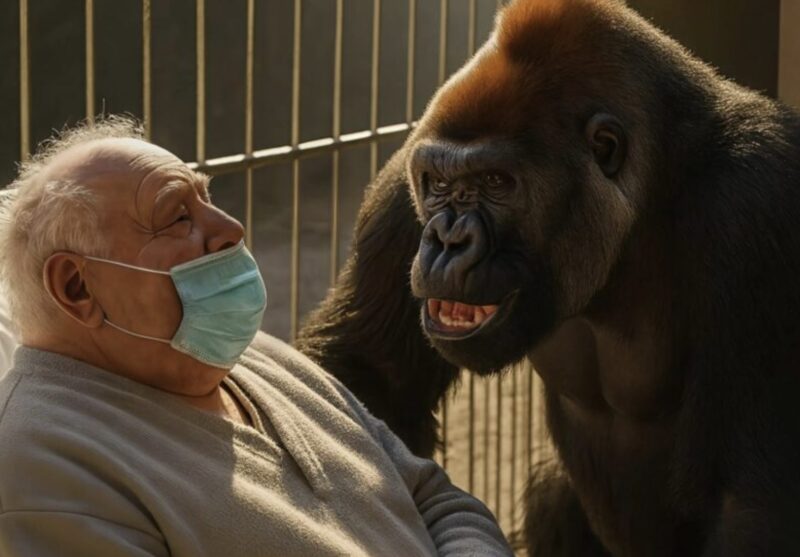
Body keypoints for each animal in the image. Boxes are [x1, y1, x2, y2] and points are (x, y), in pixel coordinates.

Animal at [296, 0, 800, 554]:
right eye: (439, 185)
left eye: (497, 182)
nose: (446, 241)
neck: (656, 185)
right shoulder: (407, 170)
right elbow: (370, 378)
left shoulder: (757, 206)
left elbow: (747, 504)